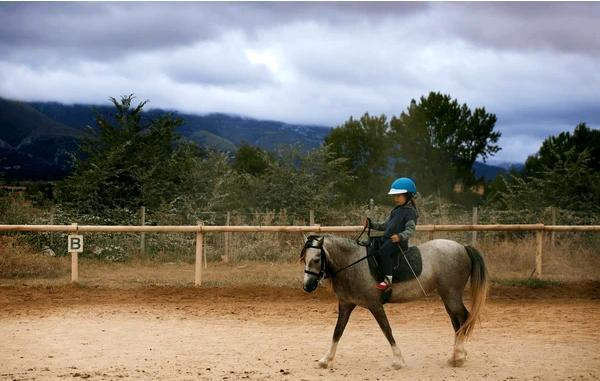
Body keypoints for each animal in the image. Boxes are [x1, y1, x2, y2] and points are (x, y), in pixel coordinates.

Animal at [300, 235, 488, 368]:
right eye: (304, 259)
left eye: (316, 259)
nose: (307, 286)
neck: (352, 264)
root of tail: (462, 247)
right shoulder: (346, 305)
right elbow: (337, 331)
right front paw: (326, 360)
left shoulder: (375, 305)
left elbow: (387, 330)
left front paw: (398, 360)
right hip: (448, 296)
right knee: (457, 322)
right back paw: (456, 356)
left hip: (451, 294)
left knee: (463, 317)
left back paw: (459, 356)